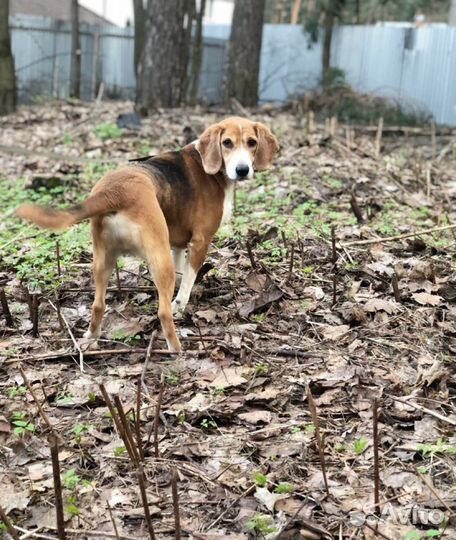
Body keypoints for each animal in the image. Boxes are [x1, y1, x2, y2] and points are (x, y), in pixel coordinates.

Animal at [16, 116, 280, 352]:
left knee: (98, 305)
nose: (242, 170)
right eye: (226, 143)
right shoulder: (200, 241)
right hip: (158, 259)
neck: (208, 165)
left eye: (252, 142)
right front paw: (180, 303)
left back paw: (91, 338)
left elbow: (181, 271)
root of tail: (114, 192)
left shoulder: (177, 244)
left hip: (102, 260)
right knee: (162, 313)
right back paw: (177, 349)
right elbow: (187, 281)